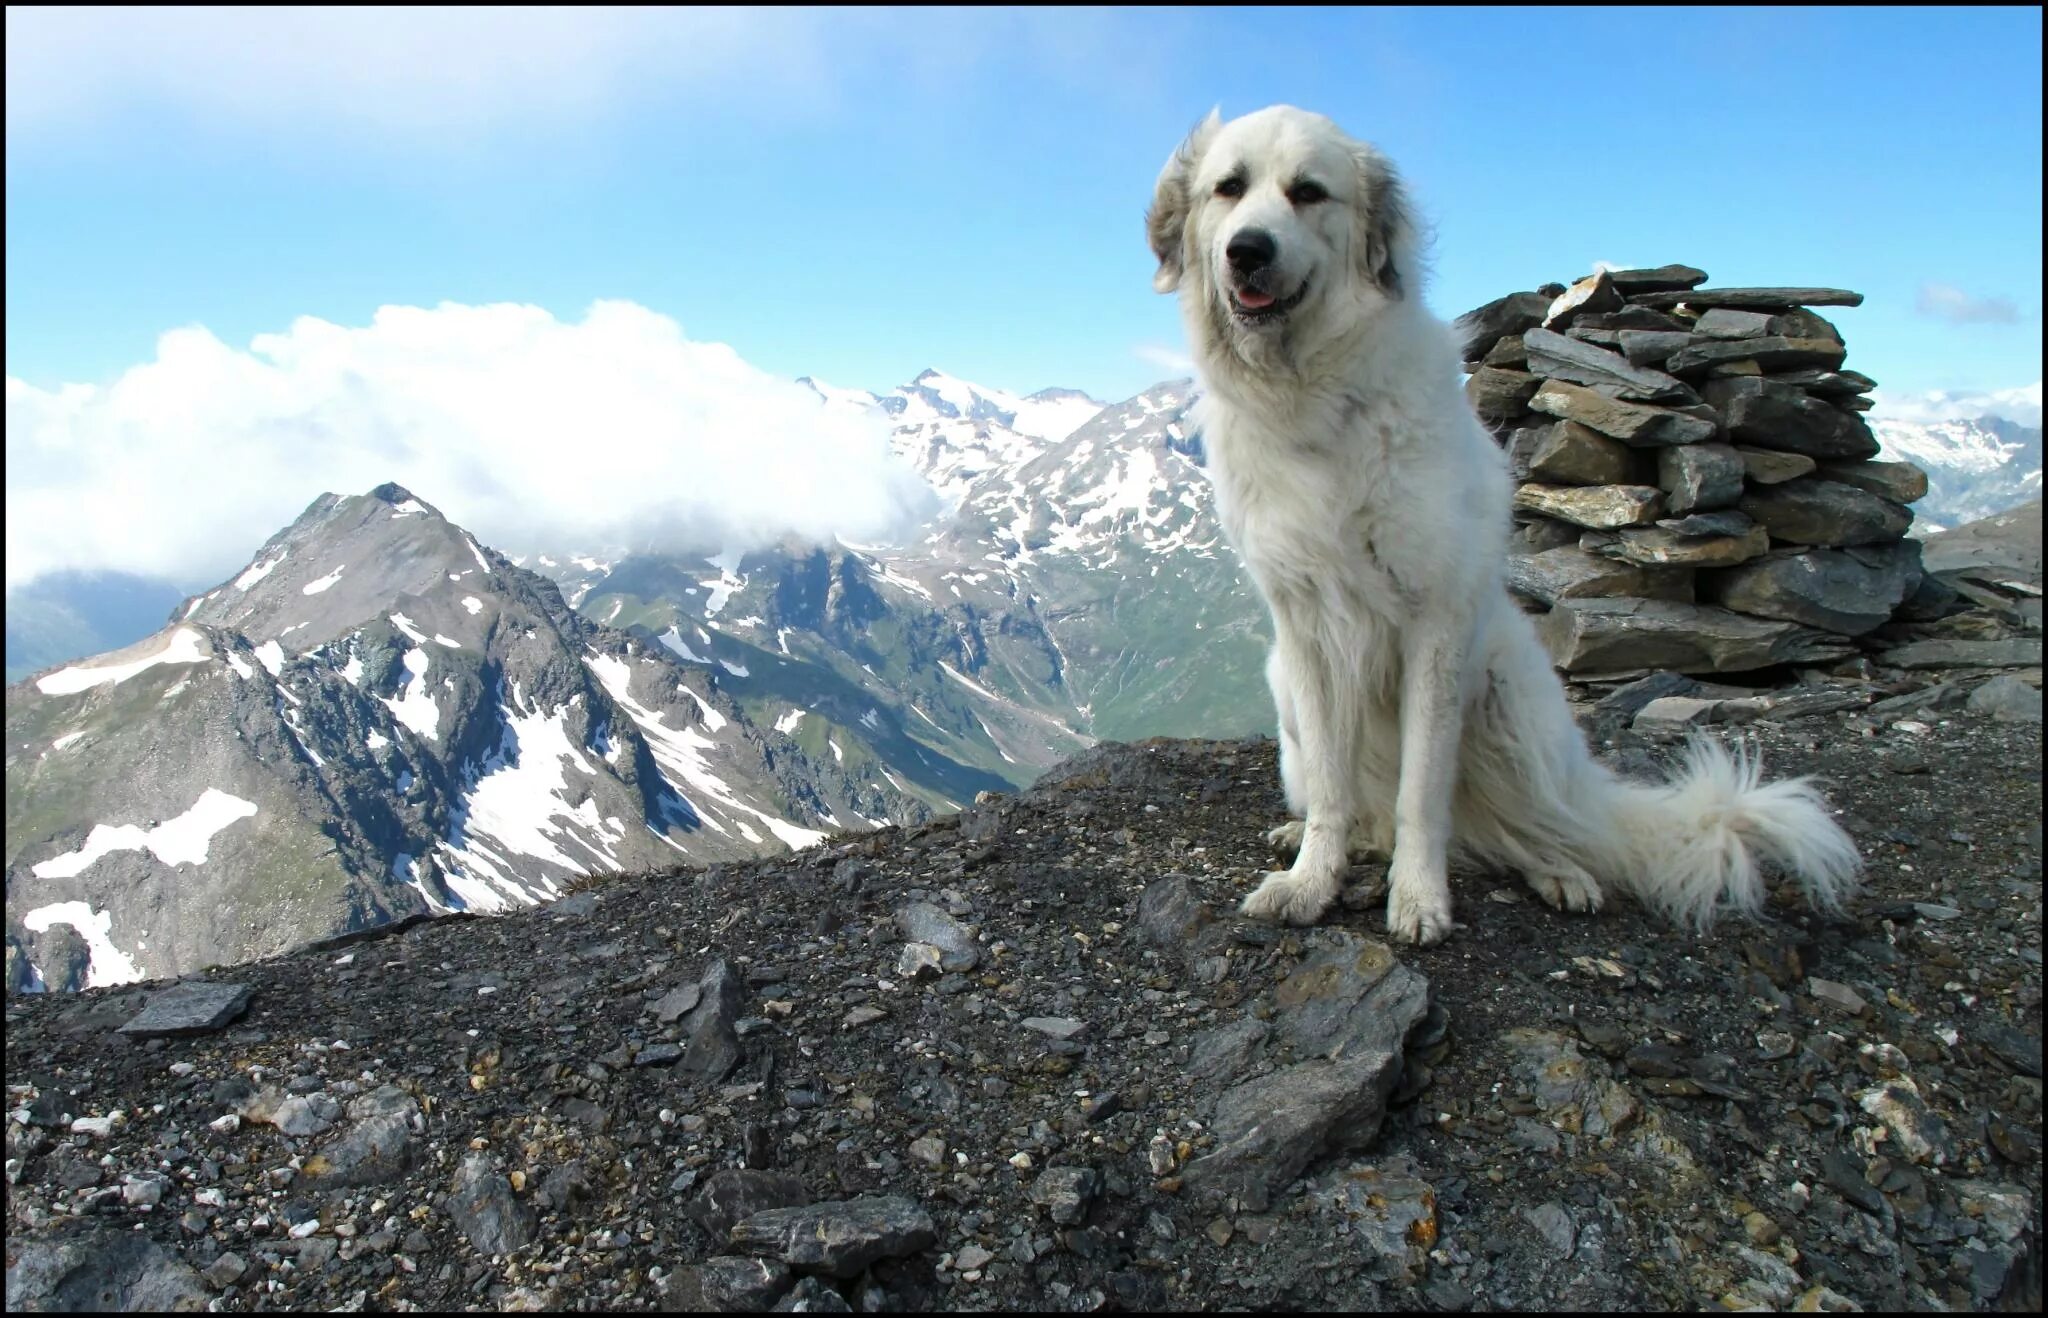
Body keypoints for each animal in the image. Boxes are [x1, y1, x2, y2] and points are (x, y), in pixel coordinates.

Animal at [1146, 107, 1867, 941]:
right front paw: (1312, 879)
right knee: (1383, 814)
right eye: (1228, 189)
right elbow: (1332, 786)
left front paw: (1418, 896)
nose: (1248, 250)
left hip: (1507, 700)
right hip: (1286, 694)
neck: (1315, 404)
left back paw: (1560, 872)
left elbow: (1424, 791)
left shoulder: (1436, 622)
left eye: (1308, 192)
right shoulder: (1305, 631)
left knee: (1538, 828)